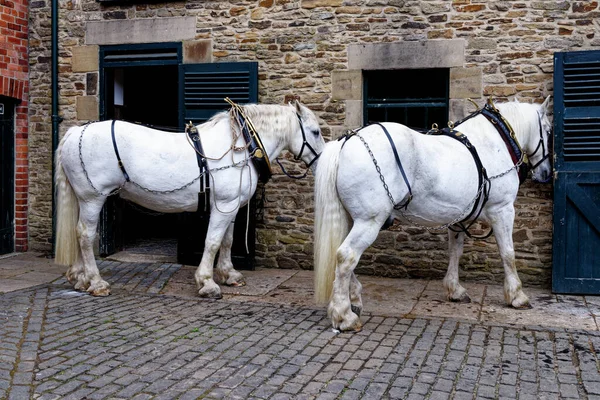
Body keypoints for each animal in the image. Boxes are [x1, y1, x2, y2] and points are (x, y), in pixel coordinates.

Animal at [55, 101, 326, 298]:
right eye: (315, 132)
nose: (321, 162)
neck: (243, 145)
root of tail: (75, 132)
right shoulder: (223, 205)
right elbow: (213, 242)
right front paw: (207, 282)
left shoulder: (230, 207)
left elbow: (227, 241)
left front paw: (229, 274)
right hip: (93, 198)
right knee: (86, 235)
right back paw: (96, 282)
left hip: (84, 199)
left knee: (79, 233)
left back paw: (80, 278)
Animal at [314, 97, 552, 332]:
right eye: (549, 131)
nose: (546, 173)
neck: (494, 142)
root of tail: (346, 141)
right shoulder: (502, 210)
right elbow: (508, 253)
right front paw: (517, 295)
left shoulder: (458, 219)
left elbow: (455, 252)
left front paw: (455, 290)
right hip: (369, 221)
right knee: (346, 256)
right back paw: (344, 315)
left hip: (352, 219)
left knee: (341, 255)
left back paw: (353, 300)